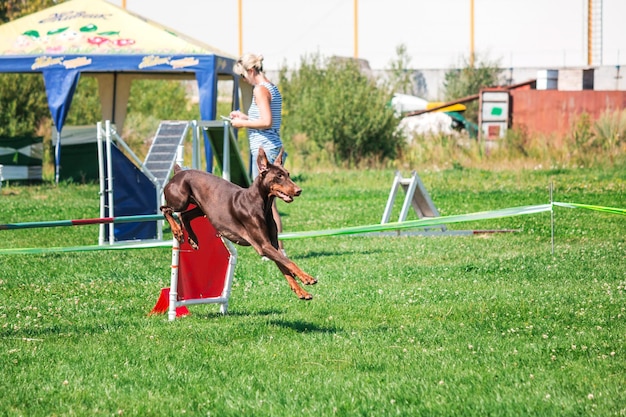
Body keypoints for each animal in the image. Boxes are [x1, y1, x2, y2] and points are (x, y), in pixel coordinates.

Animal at [160, 146, 316, 300]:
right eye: (279, 176)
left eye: (287, 174)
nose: (299, 190)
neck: (261, 205)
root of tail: (179, 172)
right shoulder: (263, 245)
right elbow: (289, 262)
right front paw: (307, 278)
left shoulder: (272, 245)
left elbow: (285, 267)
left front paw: (301, 291)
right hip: (181, 200)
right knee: (165, 209)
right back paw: (177, 231)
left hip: (201, 208)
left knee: (185, 216)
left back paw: (193, 239)